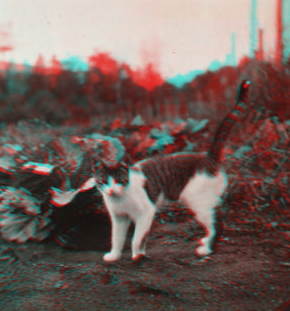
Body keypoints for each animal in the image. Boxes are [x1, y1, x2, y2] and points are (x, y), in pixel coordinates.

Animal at [94, 79, 250, 262]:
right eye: (104, 181)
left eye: (119, 180)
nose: (111, 190)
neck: (121, 198)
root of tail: (208, 156)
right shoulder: (119, 218)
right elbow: (116, 238)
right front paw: (114, 256)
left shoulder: (146, 213)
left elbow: (137, 238)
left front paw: (137, 256)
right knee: (217, 219)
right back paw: (205, 243)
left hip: (198, 202)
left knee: (217, 224)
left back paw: (206, 250)